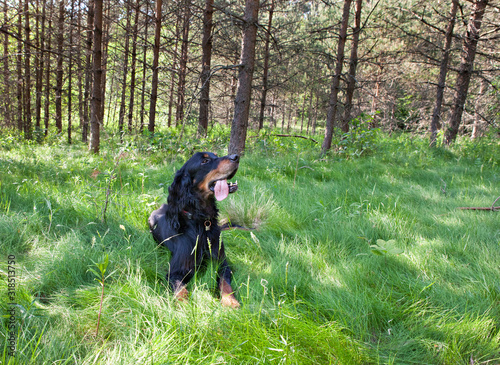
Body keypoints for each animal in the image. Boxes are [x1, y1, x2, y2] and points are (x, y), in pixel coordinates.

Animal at [148, 151, 240, 308]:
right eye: (205, 161)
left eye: (215, 155)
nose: (236, 156)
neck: (201, 223)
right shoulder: (175, 272)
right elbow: (181, 291)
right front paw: (185, 306)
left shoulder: (222, 263)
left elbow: (225, 283)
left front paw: (230, 301)